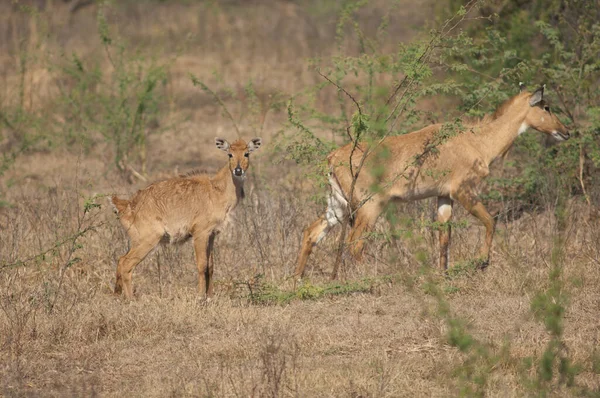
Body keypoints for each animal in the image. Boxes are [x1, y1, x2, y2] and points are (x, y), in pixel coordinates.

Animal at [112, 138, 262, 298]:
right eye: (230, 154)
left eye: (246, 153)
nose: (238, 170)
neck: (217, 190)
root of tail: (126, 205)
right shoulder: (200, 233)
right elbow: (202, 265)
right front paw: (200, 297)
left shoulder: (212, 234)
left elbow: (211, 266)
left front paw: (210, 296)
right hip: (149, 239)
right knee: (126, 263)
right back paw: (131, 299)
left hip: (138, 240)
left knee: (121, 260)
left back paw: (118, 294)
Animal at [296, 85, 572, 278]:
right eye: (546, 107)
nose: (566, 132)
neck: (478, 140)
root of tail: (332, 158)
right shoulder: (463, 190)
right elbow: (490, 221)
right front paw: (482, 262)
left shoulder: (444, 196)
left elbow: (444, 237)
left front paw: (444, 274)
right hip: (369, 207)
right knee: (355, 243)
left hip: (338, 206)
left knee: (311, 232)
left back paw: (296, 280)